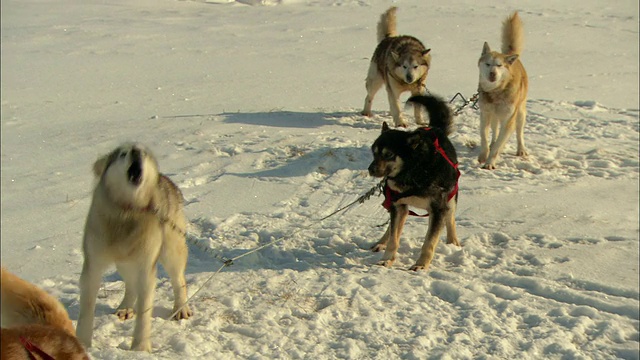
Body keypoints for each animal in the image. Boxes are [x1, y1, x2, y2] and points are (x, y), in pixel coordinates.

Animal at [368, 94, 462, 272]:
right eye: (374, 152)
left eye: (389, 154)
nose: (370, 169)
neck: (413, 173)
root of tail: (435, 129)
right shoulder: (398, 205)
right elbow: (394, 238)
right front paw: (387, 259)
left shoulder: (438, 209)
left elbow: (429, 242)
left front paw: (421, 264)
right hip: (395, 204)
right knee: (392, 226)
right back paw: (381, 242)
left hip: (450, 198)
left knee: (451, 217)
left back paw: (453, 242)